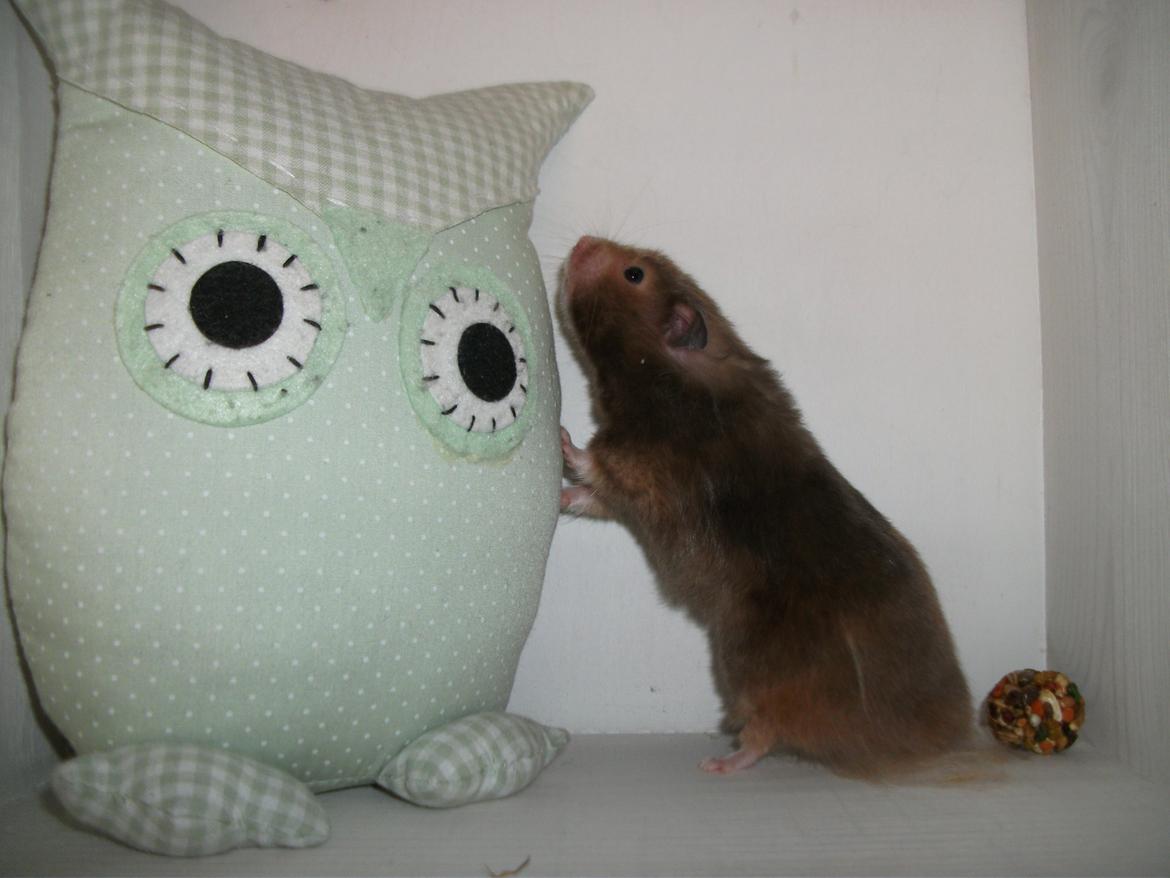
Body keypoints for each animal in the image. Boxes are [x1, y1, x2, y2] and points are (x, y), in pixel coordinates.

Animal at [558, 235, 974, 776]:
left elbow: (594, 466)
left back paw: (719, 764)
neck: (675, 376)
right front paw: (559, 492)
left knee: (766, 730)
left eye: (634, 275)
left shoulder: (641, 468)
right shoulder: (630, 496)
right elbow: (592, 498)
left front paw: (561, 440)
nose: (581, 241)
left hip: (746, 664)